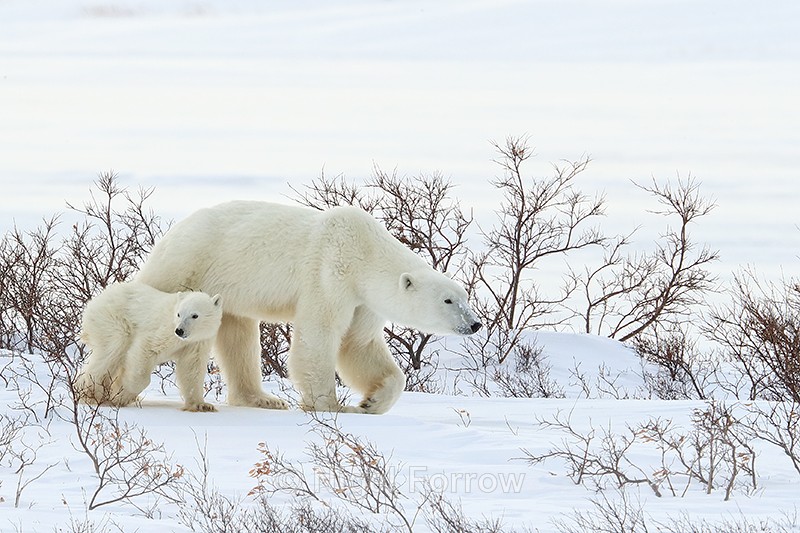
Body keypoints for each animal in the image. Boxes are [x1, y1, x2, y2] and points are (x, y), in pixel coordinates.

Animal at [77, 282, 223, 412]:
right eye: (179, 314)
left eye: (195, 315)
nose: (179, 331)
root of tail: (94, 301)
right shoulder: (164, 330)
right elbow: (146, 348)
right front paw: (121, 396)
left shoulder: (197, 342)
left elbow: (192, 367)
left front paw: (202, 405)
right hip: (113, 319)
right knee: (112, 349)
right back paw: (90, 395)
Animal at [136, 201, 482, 414]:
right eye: (448, 300)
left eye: (465, 296)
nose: (475, 323)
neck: (365, 251)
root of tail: (171, 232)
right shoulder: (331, 271)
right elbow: (319, 333)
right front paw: (329, 404)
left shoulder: (363, 301)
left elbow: (359, 345)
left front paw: (371, 402)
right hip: (189, 265)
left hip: (229, 290)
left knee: (238, 336)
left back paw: (263, 399)